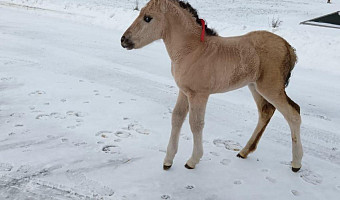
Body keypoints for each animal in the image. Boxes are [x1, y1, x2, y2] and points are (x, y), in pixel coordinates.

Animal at [122, 0, 302, 172]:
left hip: (271, 88)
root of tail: (288, 47)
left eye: (148, 18)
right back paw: (244, 151)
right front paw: (168, 161)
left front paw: (192, 161)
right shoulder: (184, 91)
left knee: (293, 114)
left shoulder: (199, 94)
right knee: (266, 111)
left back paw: (296, 163)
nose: (123, 40)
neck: (192, 50)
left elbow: (196, 123)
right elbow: (177, 118)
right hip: (254, 86)